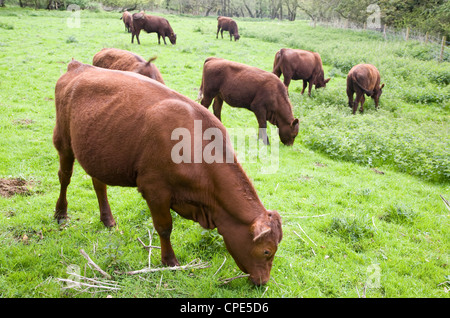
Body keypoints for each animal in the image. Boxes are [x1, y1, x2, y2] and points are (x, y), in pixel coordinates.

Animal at [52, 59, 282, 286]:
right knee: (64, 177)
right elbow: (164, 227)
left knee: (99, 185)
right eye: (267, 251)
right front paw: (169, 261)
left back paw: (107, 219)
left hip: (97, 153)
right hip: (63, 141)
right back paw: (61, 214)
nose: (264, 282)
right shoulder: (155, 190)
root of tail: (79, 66)